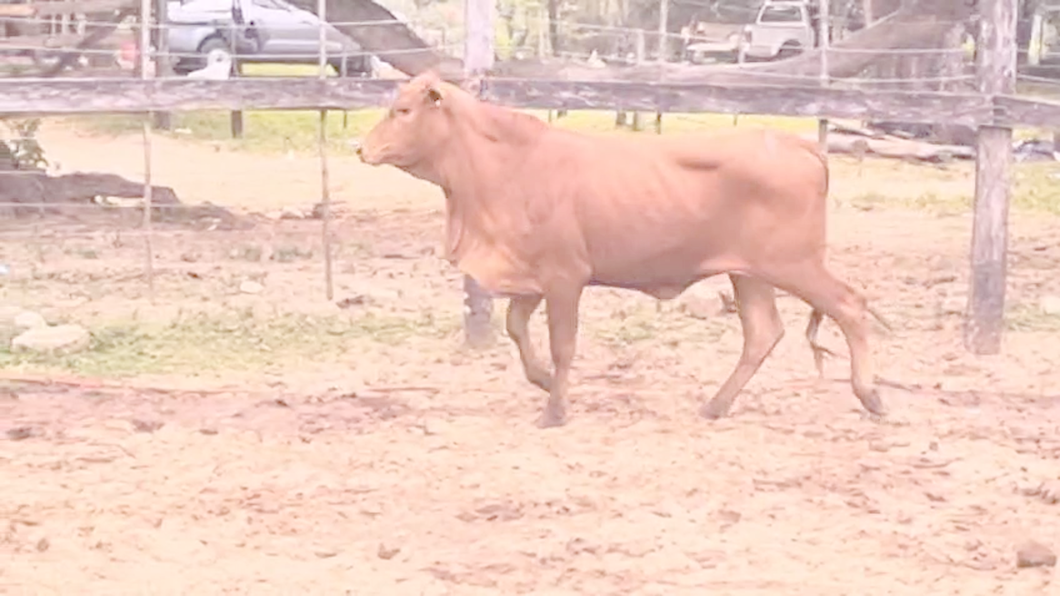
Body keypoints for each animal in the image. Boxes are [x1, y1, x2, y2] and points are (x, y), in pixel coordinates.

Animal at [360, 70, 890, 426]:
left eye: (403, 110)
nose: (361, 149)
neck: (505, 167)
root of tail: (798, 144)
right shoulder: (533, 276)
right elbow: (516, 329)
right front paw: (544, 381)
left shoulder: (565, 276)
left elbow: (563, 344)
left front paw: (555, 409)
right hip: (749, 273)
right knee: (763, 333)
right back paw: (715, 404)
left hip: (794, 264)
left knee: (850, 305)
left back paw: (870, 394)